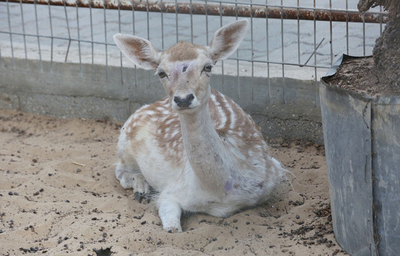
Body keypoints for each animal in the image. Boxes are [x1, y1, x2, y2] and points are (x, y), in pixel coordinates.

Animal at [114, 20, 286, 232]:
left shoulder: (275, 172)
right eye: (161, 72)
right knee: (120, 170)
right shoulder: (171, 192)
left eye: (208, 66)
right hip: (124, 139)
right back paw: (141, 188)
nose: (183, 98)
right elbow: (172, 229)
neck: (221, 192)